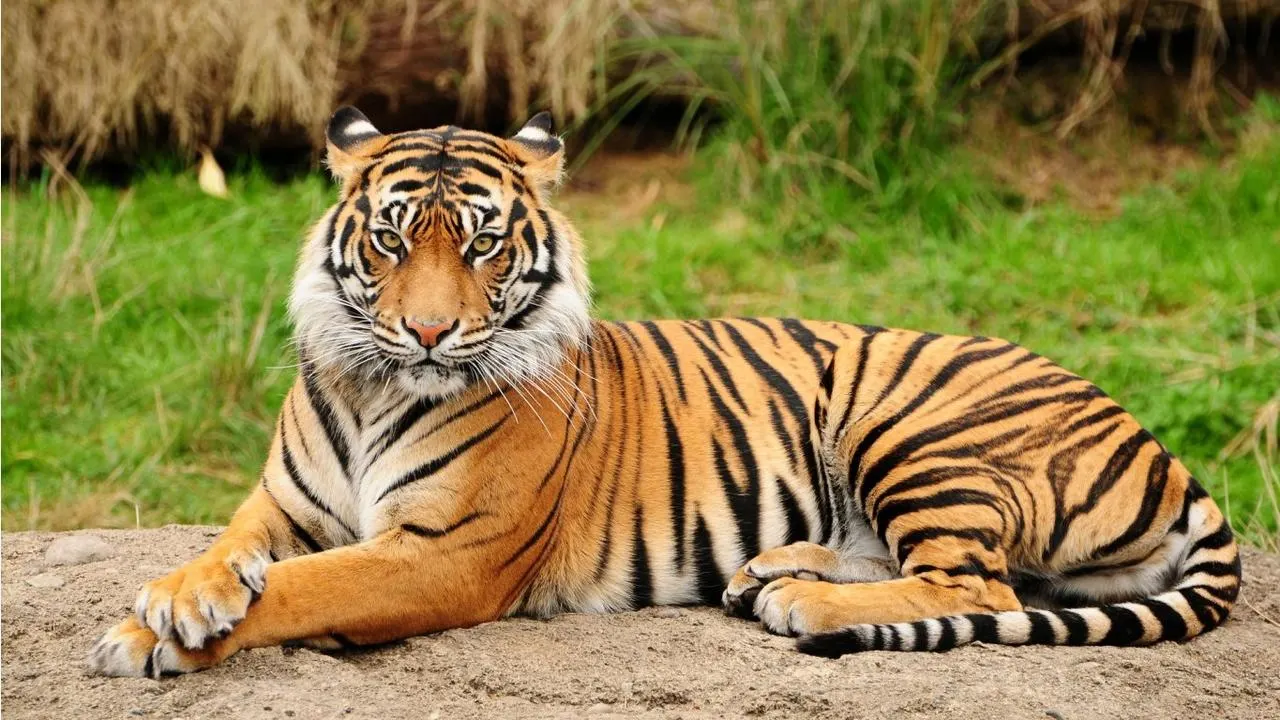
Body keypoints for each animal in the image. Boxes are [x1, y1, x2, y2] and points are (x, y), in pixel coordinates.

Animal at [88, 107, 1240, 677]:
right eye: (390, 239)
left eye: (482, 245)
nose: (427, 330)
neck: (376, 388)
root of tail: (1159, 444)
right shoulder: (280, 505)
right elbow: (231, 554)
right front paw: (175, 601)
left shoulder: (443, 554)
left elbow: (305, 589)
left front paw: (156, 635)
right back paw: (769, 571)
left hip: (910, 422)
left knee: (982, 587)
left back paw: (802, 600)